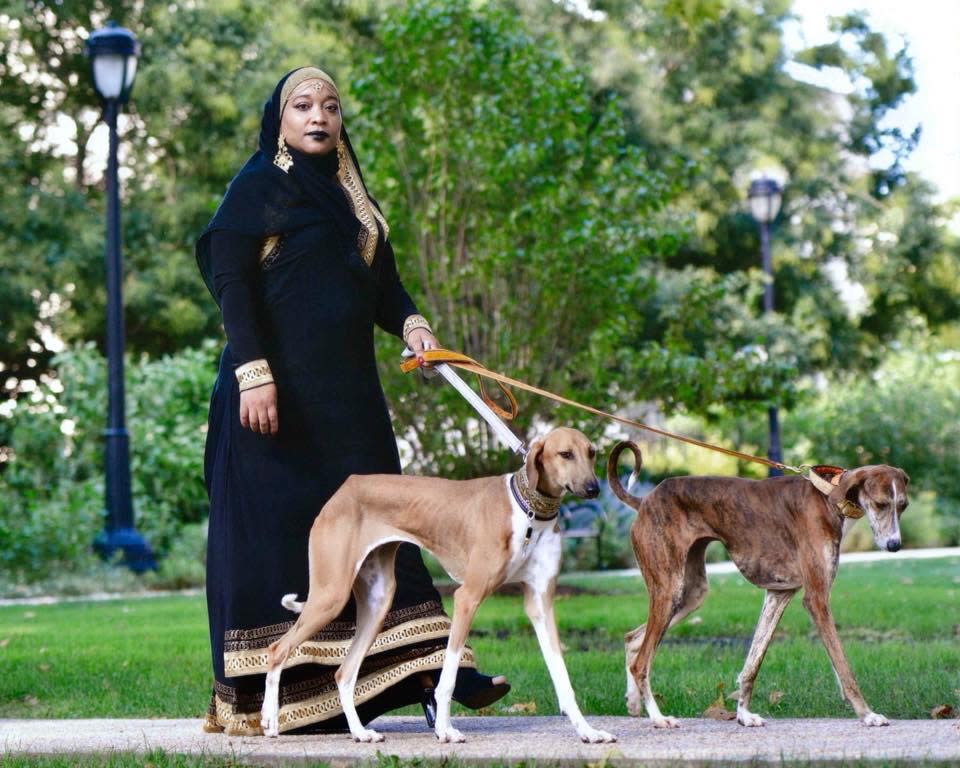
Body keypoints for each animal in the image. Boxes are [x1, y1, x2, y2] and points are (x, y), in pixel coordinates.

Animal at [262, 426, 616, 744]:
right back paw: (270, 721)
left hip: (377, 601)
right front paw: (445, 730)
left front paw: (588, 731)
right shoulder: (467, 597)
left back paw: (360, 733)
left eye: (591, 452)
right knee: (278, 649)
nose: (593, 489)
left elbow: (562, 677)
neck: (528, 512)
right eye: (565, 454)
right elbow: (448, 675)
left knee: (343, 673)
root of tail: (345, 489)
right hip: (331, 595)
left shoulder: (540, 603)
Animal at [612, 440, 912, 728]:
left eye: (903, 505)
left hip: (689, 594)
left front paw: (744, 715)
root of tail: (645, 500)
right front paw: (867, 714)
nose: (895, 546)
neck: (829, 497)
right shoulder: (816, 599)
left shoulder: (778, 594)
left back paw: (634, 702)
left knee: (632, 639)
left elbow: (753, 664)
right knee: (641, 662)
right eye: (881, 504)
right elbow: (843, 666)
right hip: (669, 590)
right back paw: (658, 717)